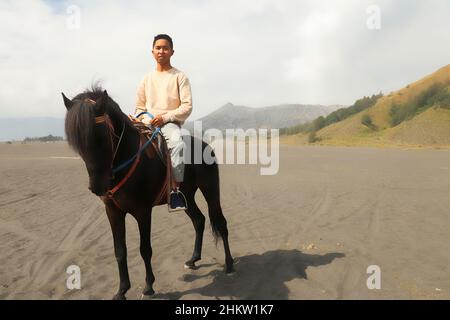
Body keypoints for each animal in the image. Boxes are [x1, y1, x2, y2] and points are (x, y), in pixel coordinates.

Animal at [61, 86, 234, 298]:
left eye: (99, 137)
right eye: (76, 143)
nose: (97, 187)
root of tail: (205, 145)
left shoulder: (143, 211)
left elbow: (145, 249)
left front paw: (149, 286)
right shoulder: (113, 212)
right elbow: (119, 250)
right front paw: (122, 290)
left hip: (210, 189)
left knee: (221, 223)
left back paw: (229, 265)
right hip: (186, 196)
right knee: (199, 220)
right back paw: (193, 259)